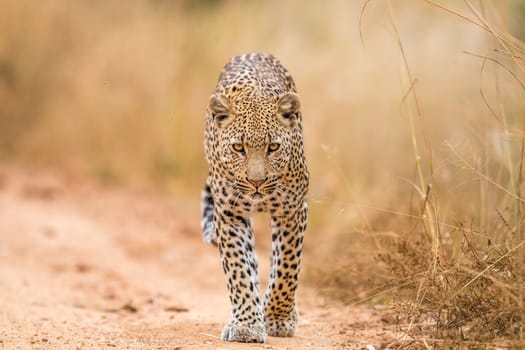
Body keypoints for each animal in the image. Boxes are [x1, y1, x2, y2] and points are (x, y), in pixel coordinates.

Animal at [200, 53, 308, 344]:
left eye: (273, 147)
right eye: (239, 147)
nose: (256, 182)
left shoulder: (292, 210)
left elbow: (286, 268)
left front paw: (278, 318)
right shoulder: (229, 214)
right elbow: (238, 269)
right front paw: (247, 325)